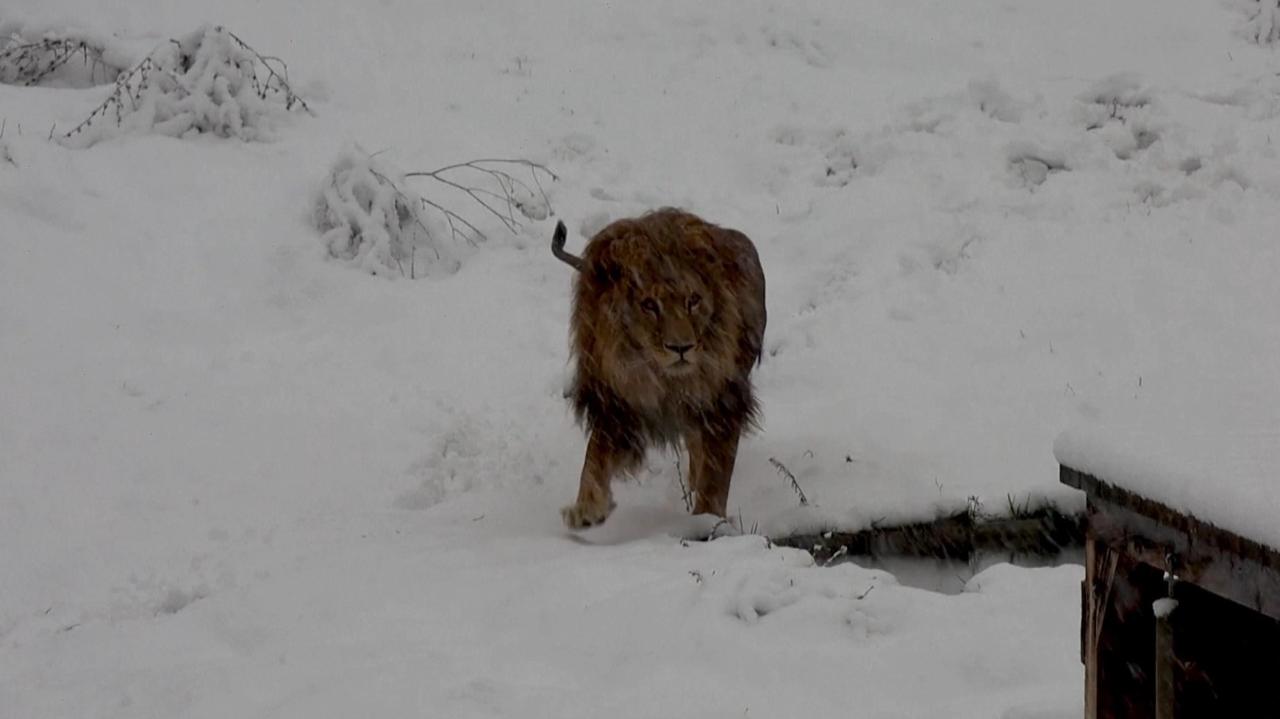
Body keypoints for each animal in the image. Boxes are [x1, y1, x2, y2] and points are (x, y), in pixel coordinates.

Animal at [552, 207, 768, 527]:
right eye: (649, 305)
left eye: (693, 300)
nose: (681, 348)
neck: (661, 378)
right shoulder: (614, 405)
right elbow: (594, 458)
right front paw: (586, 510)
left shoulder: (723, 402)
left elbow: (716, 473)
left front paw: (706, 520)